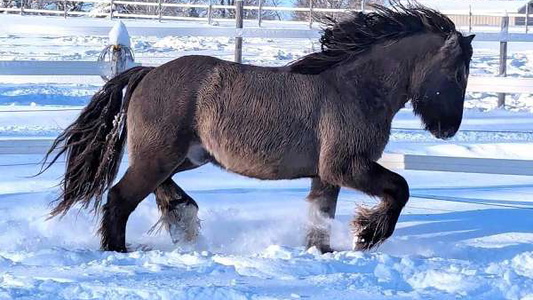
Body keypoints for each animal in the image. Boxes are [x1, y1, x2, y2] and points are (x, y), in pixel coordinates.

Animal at [42, 4, 474, 253]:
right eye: (457, 73)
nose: (448, 129)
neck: (354, 88)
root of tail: (147, 73)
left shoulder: (326, 174)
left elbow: (319, 219)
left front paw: (324, 251)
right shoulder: (346, 166)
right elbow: (400, 188)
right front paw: (367, 234)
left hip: (185, 156)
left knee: (156, 189)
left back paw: (183, 218)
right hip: (160, 156)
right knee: (119, 198)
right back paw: (121, 250)